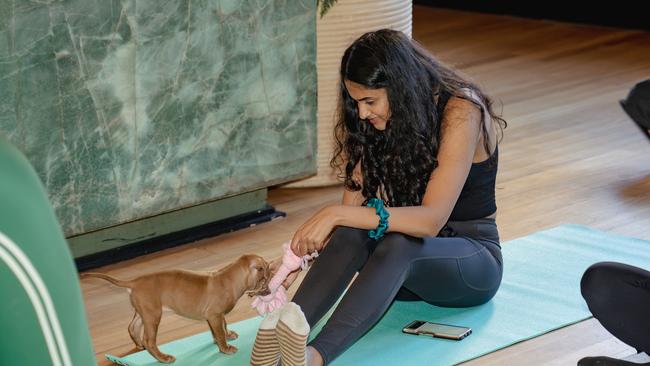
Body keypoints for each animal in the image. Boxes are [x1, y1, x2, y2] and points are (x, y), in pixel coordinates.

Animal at [80, 254, 268, 364]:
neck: (232, 277)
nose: (268, 290)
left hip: (144, 311)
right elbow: (220, 331)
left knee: (132, 327)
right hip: (153, 315)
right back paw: (163, 357)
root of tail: (134, 282)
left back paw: (139, 345)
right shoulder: (214, 314)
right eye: (264, 279)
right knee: (150, 340)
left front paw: (226, 337)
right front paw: (225, 348)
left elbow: (222, 326)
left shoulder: (215, 315)